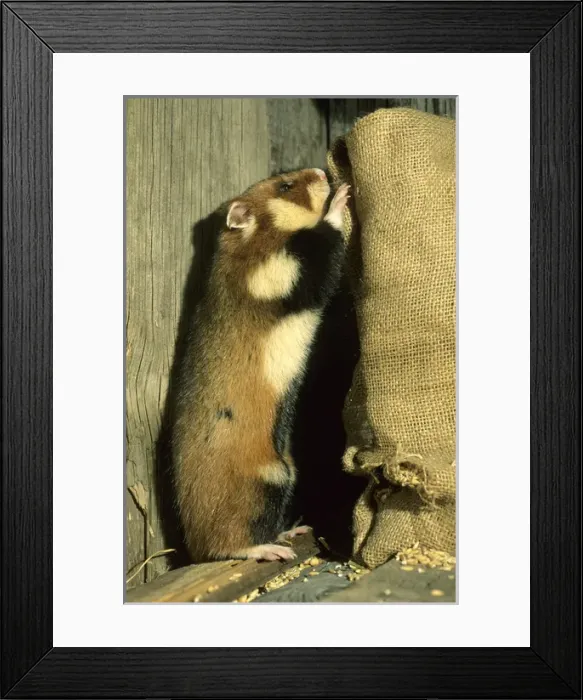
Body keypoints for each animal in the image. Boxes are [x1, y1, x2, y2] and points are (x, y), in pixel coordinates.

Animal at [172, 168, 350, 563]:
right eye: (284, 186)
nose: (321, 171)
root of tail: (191, 546)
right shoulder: (287, 271)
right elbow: (326, 239)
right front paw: (341, 197)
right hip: (267, 480)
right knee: (229, 544)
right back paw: (272, 551)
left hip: (286, 474)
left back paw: (293, 531)